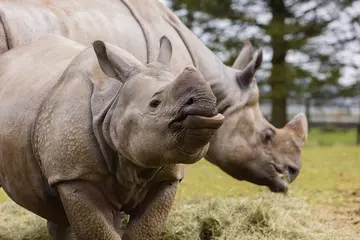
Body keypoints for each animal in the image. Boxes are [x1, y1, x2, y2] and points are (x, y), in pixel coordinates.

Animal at [0, 34, 225, 239]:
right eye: (155, 103)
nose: (205, 106)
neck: (113, 100)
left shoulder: (167, 176)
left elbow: (144, 230)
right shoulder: (74, 174)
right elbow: (100, 230)